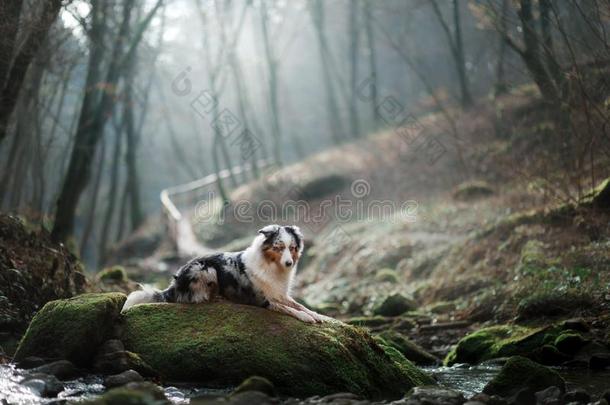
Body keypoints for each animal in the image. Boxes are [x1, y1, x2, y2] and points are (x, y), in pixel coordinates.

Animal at [122, 224, 328, 322]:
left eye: (292, 248)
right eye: (278, 247)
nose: (289, 263)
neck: (271, 266)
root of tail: (174, 284)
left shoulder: (279, 293)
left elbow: (298, 305)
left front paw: (316, 314)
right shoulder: (261, 300)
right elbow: (289, 309)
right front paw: (306, 318)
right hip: (207, 268)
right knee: (200, 298)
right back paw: (220, 298)